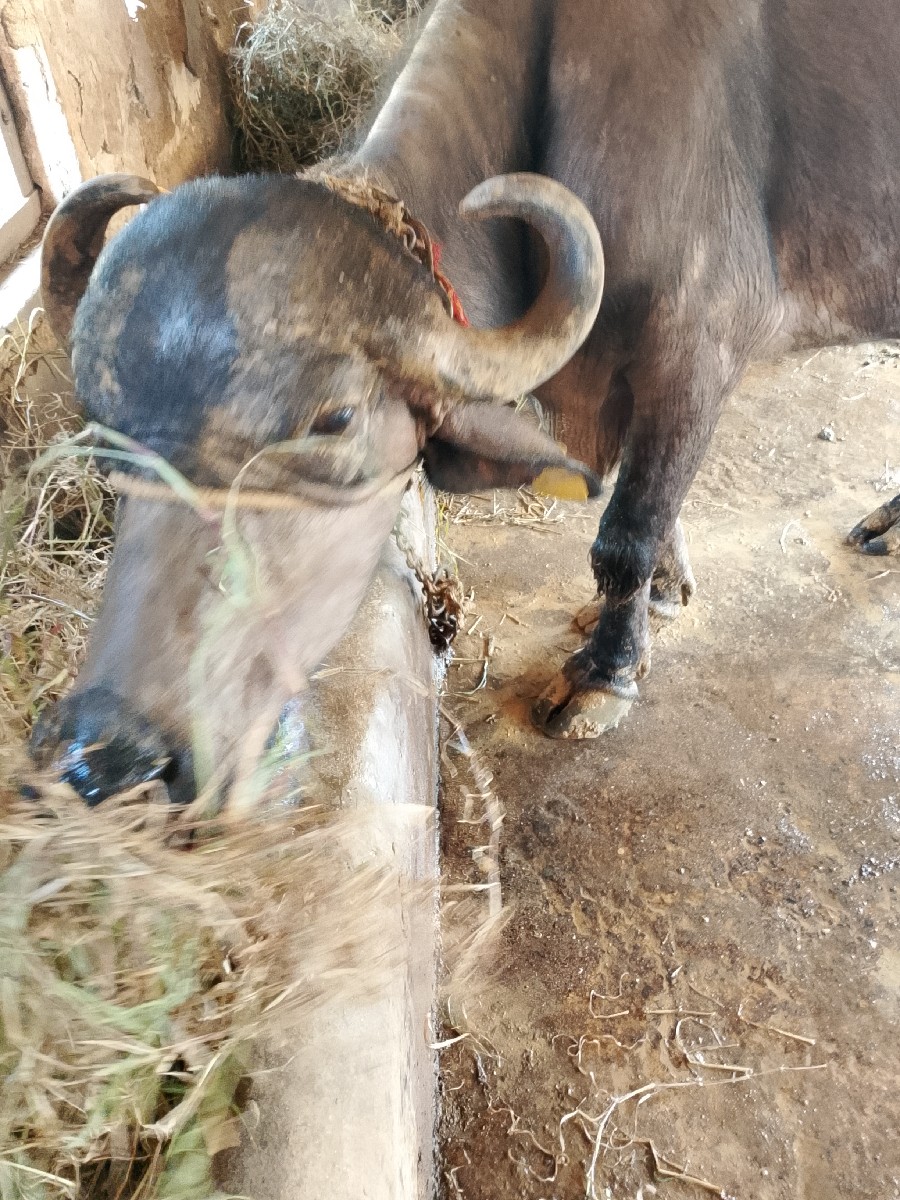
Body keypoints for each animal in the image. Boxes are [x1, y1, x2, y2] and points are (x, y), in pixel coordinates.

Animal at [31, 0, 900, 805]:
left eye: (335, 419)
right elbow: (640, 508)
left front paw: (605, 674)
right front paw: (658, 600)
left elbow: (628, 530)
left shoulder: (697, 351)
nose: (104, 755)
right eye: (103, 431)